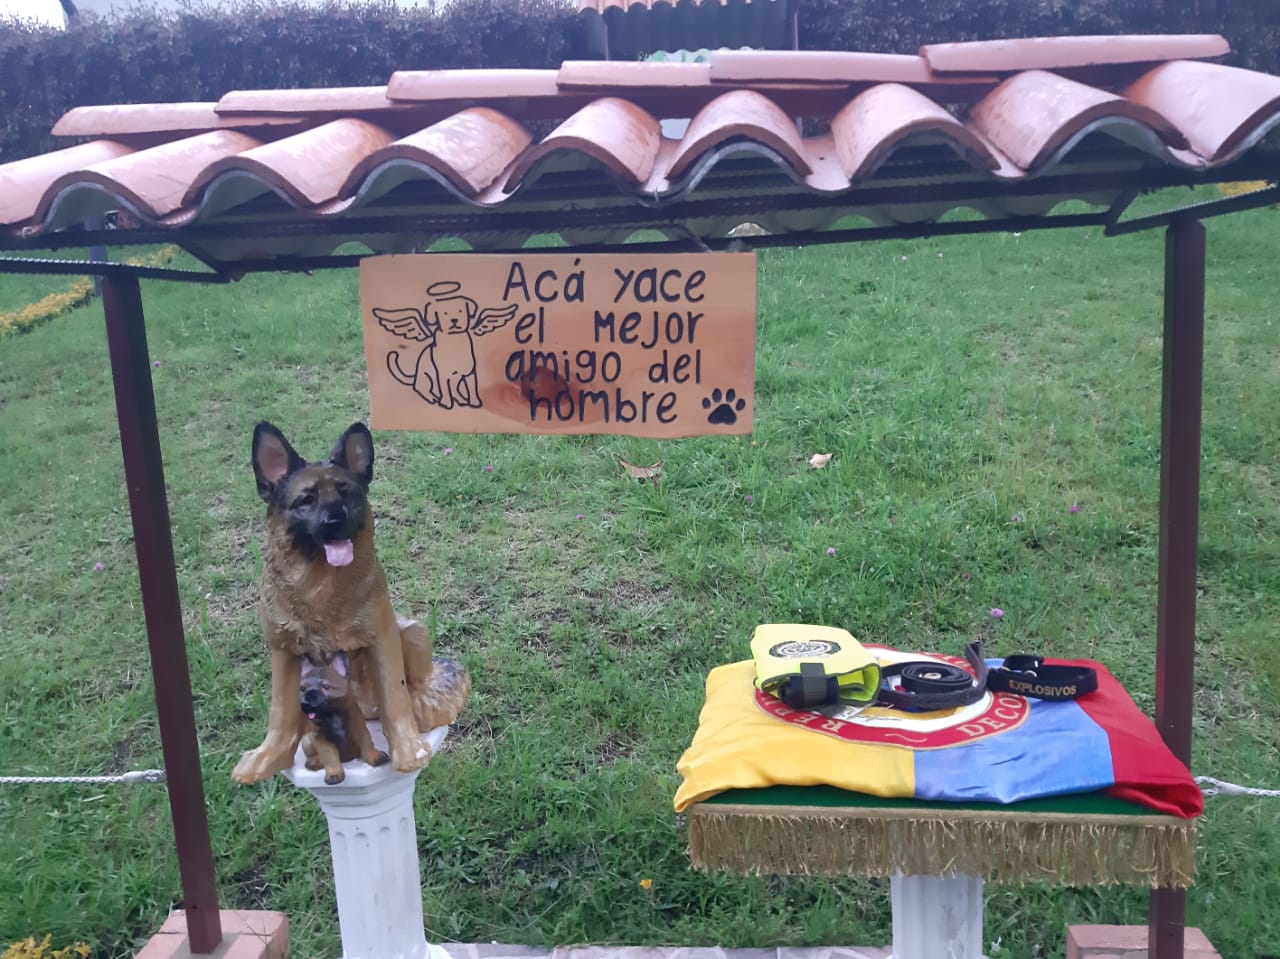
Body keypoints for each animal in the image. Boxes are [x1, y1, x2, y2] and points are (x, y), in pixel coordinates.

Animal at [299, 650, 389, 785]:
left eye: (326, 686)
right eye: (302, 689)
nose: (306, 702)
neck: (332, 714)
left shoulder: (360, 729)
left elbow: (367, 745)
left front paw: (375, 756)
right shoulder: (321, 739)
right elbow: (329, 757)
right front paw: (334, 774)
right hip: (306, 740)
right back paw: (314, 762)